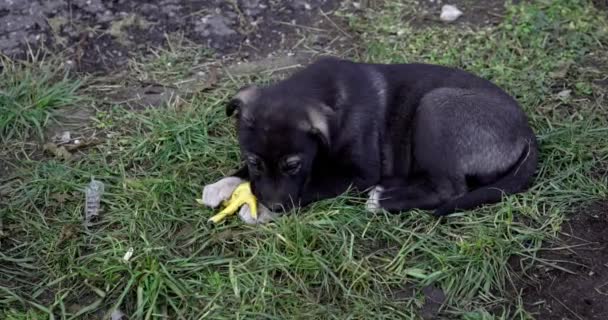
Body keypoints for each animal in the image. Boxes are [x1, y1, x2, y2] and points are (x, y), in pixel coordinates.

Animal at [202, 56, 540, 224]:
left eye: (293, 165)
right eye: (254, 162)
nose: (272, 204)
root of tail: (526, 131)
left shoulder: (359, 173)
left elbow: (312, 186)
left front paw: (261, 210)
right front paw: (224, 184)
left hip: (436, 106)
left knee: (450, 189)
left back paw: (384, 200)